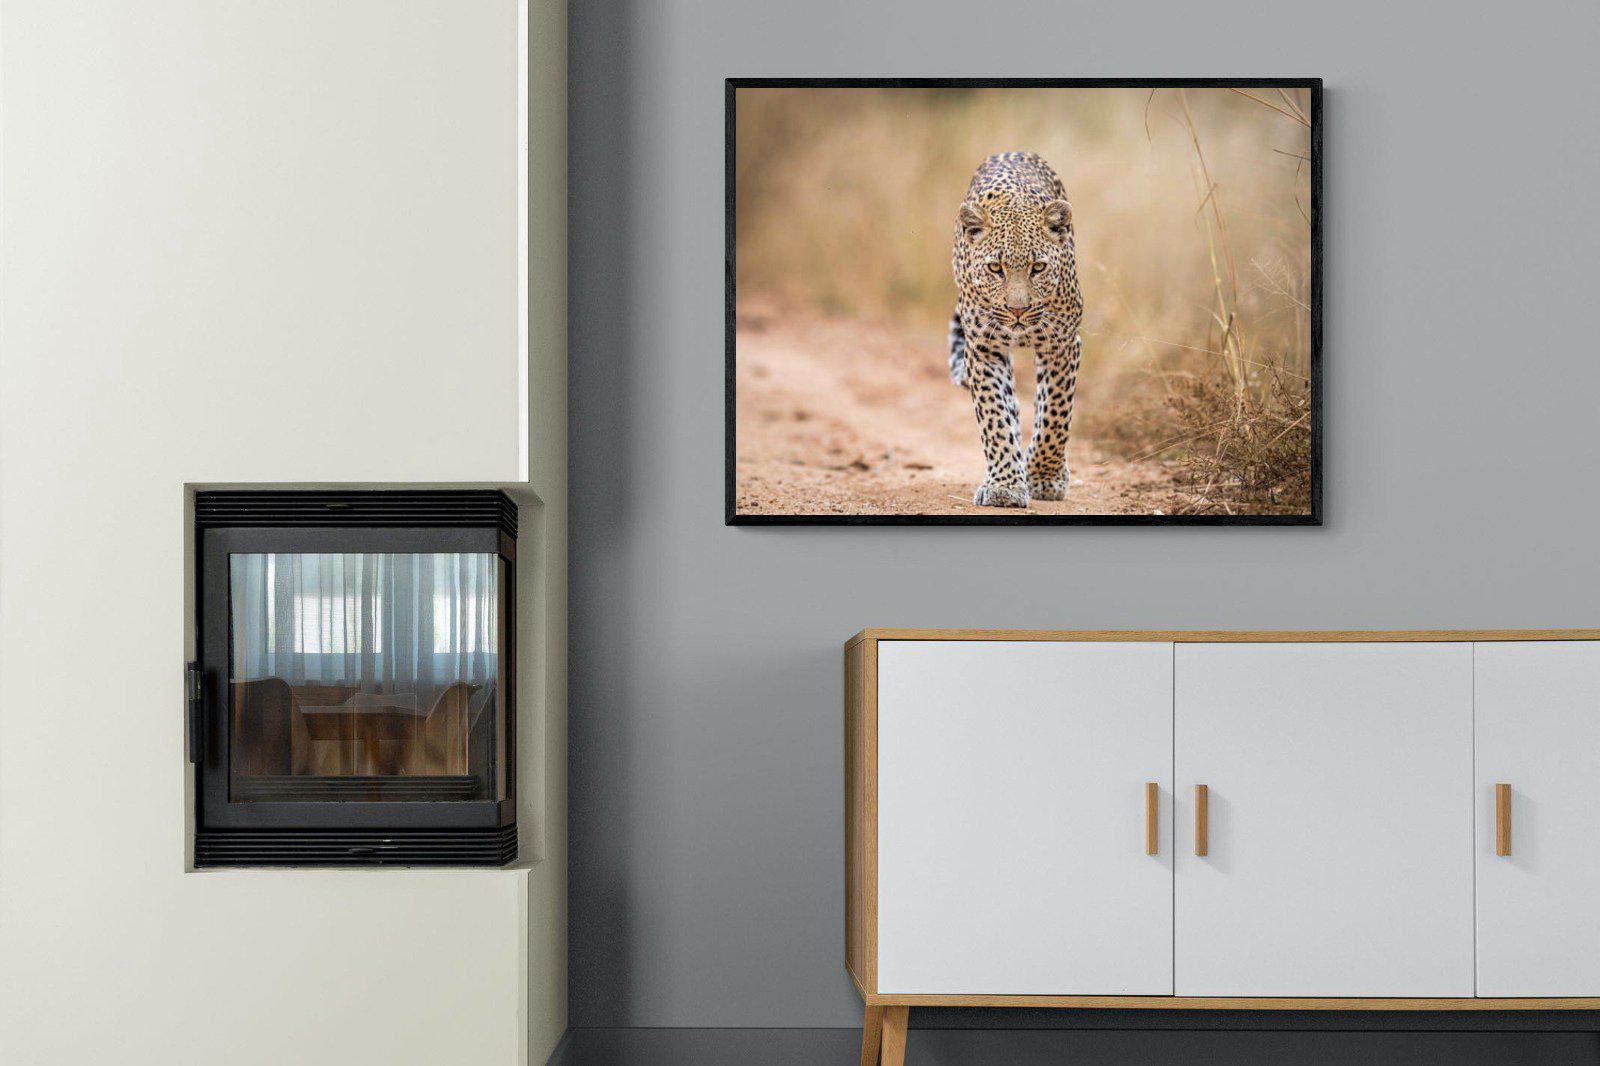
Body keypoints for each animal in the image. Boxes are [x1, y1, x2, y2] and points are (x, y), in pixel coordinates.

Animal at [948, 151, 1084, 508]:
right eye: (996, 268)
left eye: (1038, 267)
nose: (1017, 310)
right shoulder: (984, 349)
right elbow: (995, 416)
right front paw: (1005, 486)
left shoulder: (1062, 343)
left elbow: (1055, 414)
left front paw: (1044, 477)